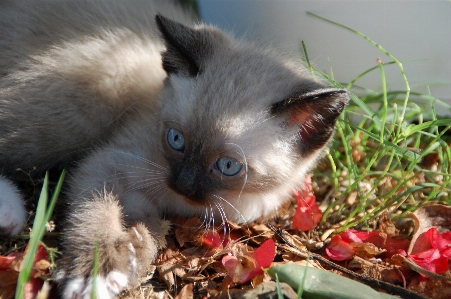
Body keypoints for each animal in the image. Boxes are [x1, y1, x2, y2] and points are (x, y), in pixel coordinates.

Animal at [0, 0, 352, 298]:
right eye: (176, 139)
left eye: (228, 166)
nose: (182, 184)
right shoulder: (108, 163)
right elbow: (97, 213)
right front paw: (96, 274)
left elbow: (149, 231)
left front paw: (133, 251)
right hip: (80, 110)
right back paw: (10, 214)